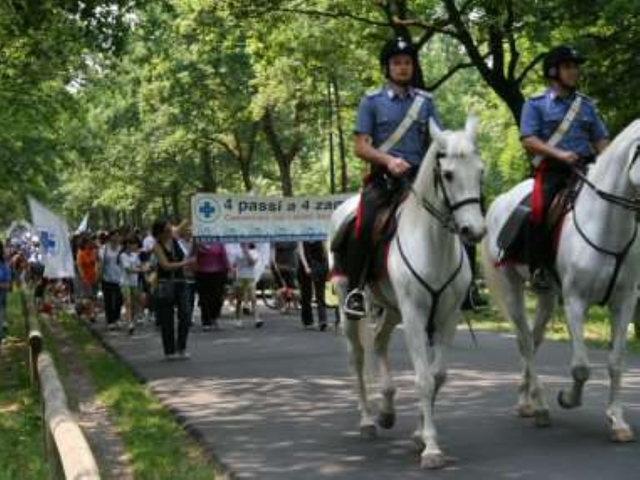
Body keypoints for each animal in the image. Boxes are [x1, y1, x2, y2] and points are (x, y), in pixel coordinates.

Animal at [330, 118, 484, 470]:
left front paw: (419, 435)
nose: (474, 231)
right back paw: (368, 421)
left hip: (391, 309)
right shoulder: (415, 316)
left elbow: (437, 376)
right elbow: (423, 379)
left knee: (379, 341)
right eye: (449, 174)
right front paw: (431, 449)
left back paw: (386, 410)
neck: (433, 244)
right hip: (350, 306)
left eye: (480, 171)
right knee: (357, 357)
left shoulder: (447, 317)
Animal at [482, 119, 640, 438]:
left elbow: (615, 362)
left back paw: (527, 402)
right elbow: (581, 367)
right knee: (525, 341)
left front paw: (617, 421)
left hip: (545, 295)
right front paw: (568, 398)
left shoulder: (626, 301)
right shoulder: (575, 301)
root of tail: (502, 201)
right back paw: (541, 408)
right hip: (512, 288)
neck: (607, 224)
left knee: (533, 339)